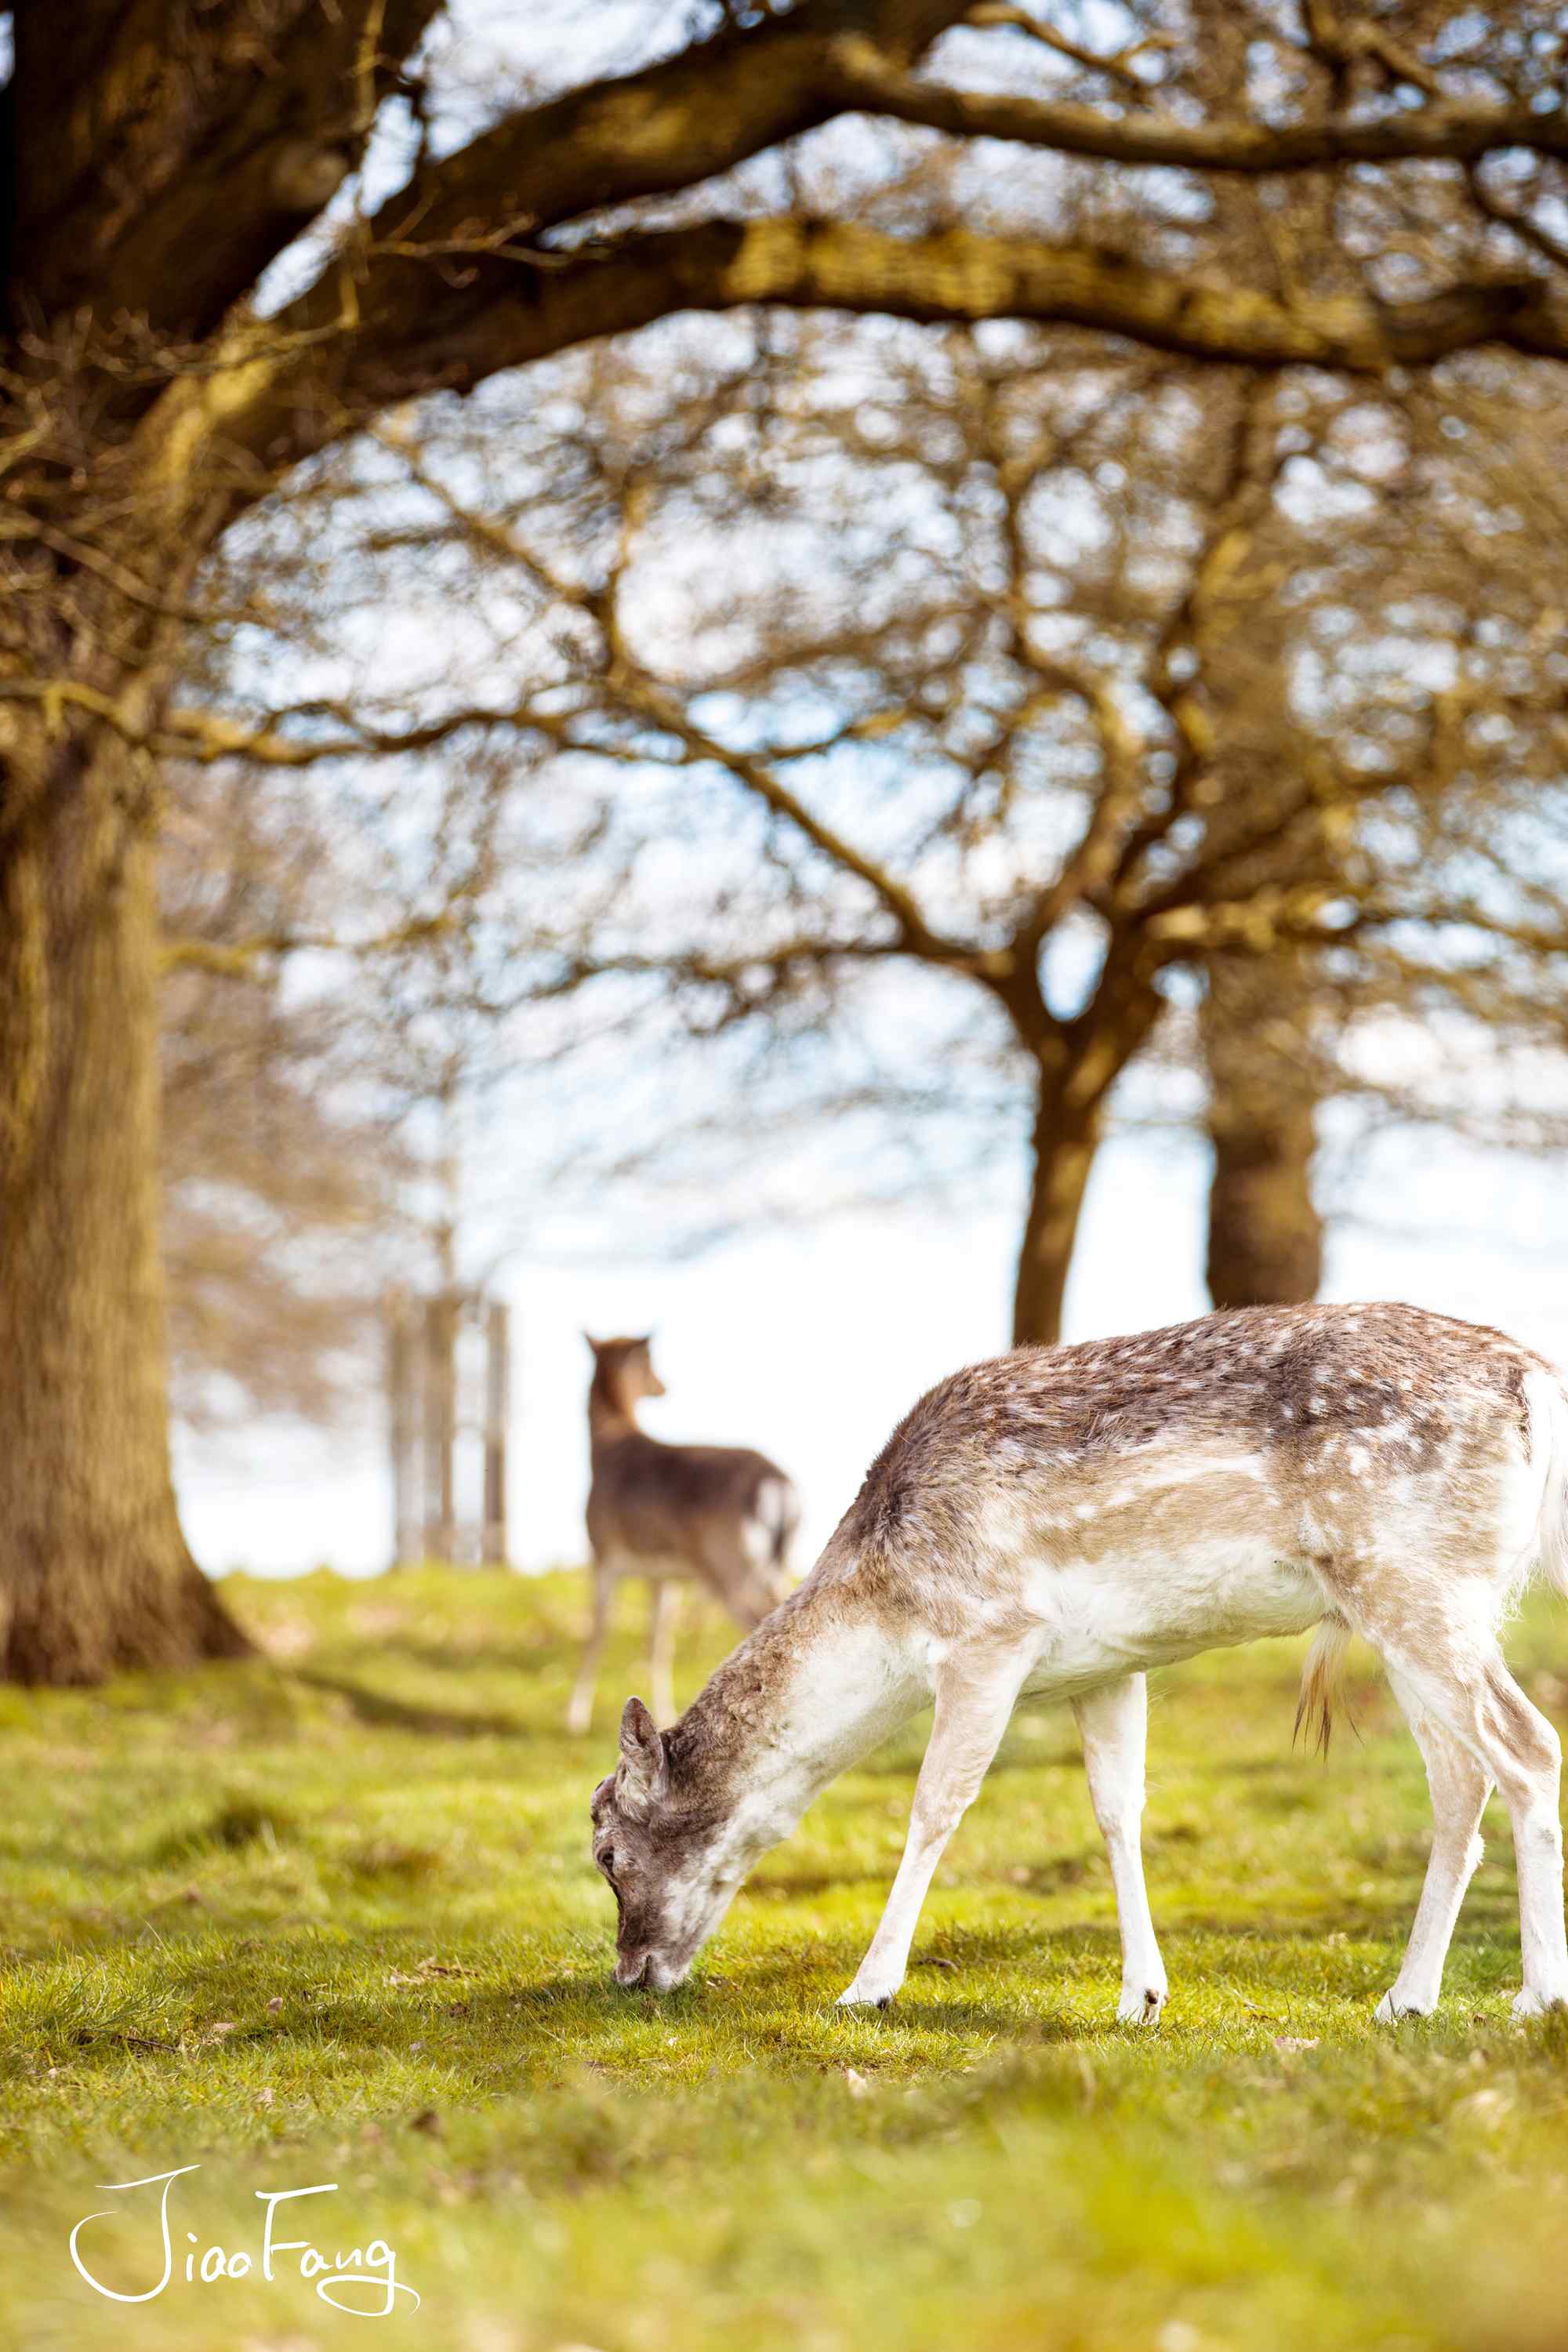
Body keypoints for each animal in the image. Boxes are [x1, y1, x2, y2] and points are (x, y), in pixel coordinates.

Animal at [571, 1336, 804, 1740]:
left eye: (649, 1360)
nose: (662, 1386)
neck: (603, 1453)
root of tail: (779, 1488)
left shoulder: (603, 1552)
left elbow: (597, 1632)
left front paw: (574, 1717)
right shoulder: (664, 1575)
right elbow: (658, 1641)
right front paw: (660, 1713)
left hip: (729, 1561)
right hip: (776, 1563)